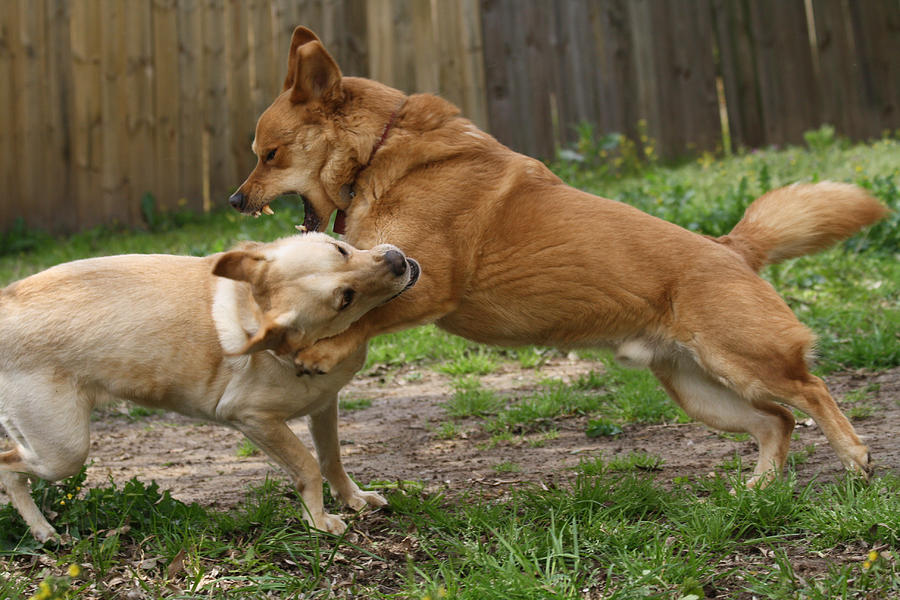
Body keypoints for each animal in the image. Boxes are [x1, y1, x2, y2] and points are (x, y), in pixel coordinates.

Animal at [0, 233, 420, 540]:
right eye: (345, 299)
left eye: (341, 248)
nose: (399, 261)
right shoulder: (253, 419)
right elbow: (307, 465)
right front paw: (318, 520)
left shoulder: (324, 406)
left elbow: (331, 459)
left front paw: (353, 498)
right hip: (64, 452)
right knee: (9, 468)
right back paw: (42, 529)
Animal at [229, 29, 888, 488]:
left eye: (269, 154)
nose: (235, 200)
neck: (379, 153)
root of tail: (731, 249)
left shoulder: (426, 281)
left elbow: (366, 316)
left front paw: (322, 350)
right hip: (698, 388)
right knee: (777, 421)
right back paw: (757, 488)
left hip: (745, 360)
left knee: (811, 391)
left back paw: (855, 456)